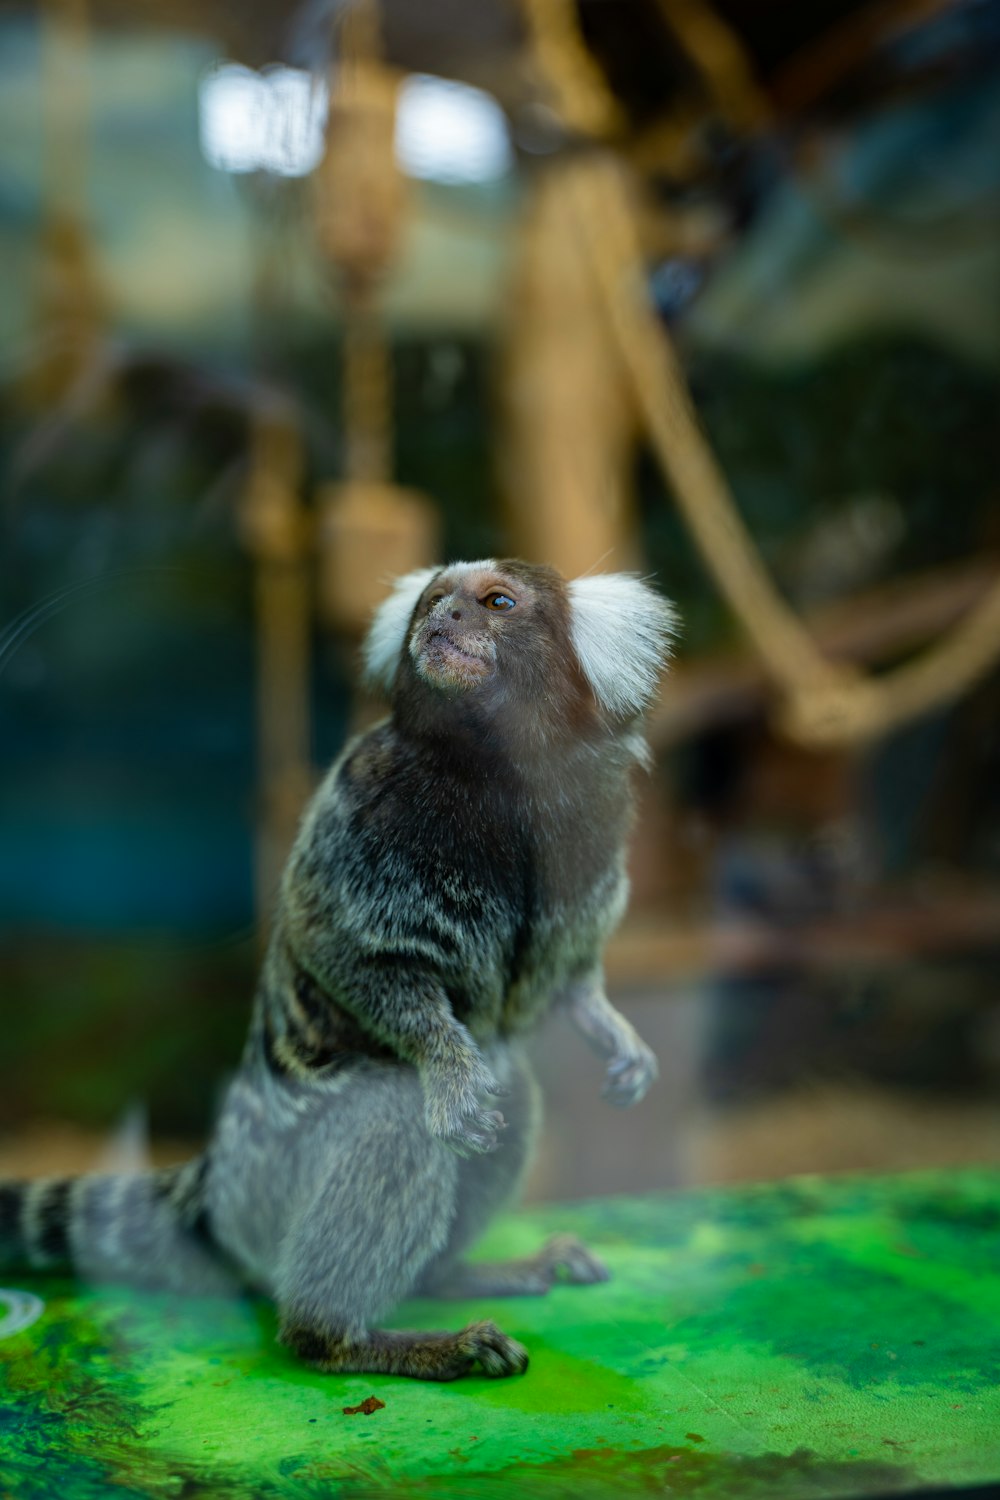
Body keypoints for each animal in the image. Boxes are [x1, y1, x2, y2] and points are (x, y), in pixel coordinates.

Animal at [0, 561, 677, 1380]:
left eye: (497, 603)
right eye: (435, 600)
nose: (445, 617)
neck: (500, 780)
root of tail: (217, 1188)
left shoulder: (595, 825)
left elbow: (569, 975)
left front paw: (610, 1032)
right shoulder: (364, 802)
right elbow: (345, 953)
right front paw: (448, 1070)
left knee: (512, 1091)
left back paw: (455, 1275)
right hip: (271, 1195)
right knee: (399, 1121)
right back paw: (363, 1340)